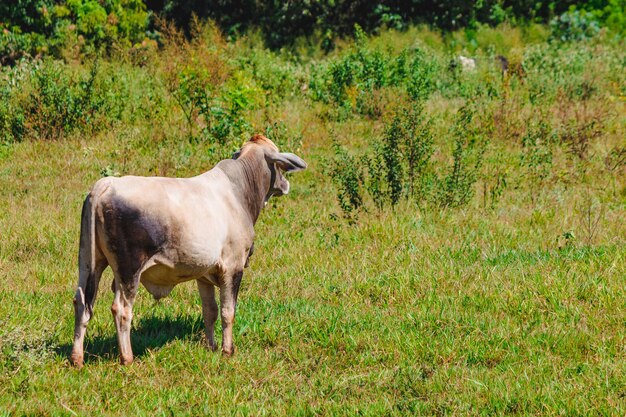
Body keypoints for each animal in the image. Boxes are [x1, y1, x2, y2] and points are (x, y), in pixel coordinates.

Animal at [70, 134, 308, 368]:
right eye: (279, 163)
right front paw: (227, 350)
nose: (285, 185)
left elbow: (210, 311)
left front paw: (212, 347)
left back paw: (77, 359)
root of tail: (105, 185)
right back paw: (127, 358)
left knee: (81, 303)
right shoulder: (233, 267)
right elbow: (228, 312)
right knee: (121, 310)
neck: (240, 191)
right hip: (129, 270)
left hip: (89, 262)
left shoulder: (204, 274)